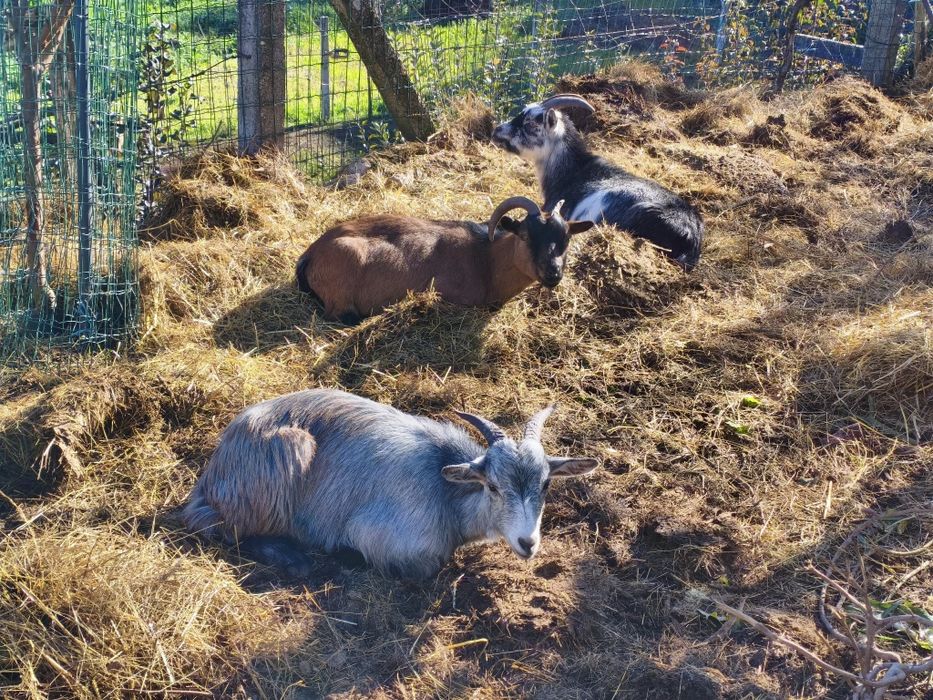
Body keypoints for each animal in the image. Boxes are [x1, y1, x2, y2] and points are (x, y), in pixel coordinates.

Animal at [183, 389, 598, 580]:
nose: (528, 543)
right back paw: (295, 559)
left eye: (545, 486)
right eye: (493, 486)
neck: (446, 492)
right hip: (286, 452)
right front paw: (346, 553)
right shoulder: (385, 537)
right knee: (226, 529)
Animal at [295, 196, 593, 322]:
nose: (553, 273)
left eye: (566, 239)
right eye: (526, 235)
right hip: (345, 270)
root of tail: (311, 253)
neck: (485, 261)